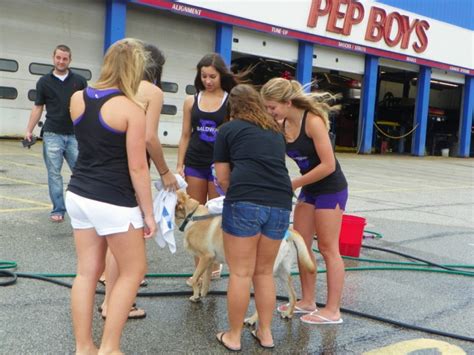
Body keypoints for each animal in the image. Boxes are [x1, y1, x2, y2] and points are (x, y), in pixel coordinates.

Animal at [174, 192, 314, 322]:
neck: (192, 216)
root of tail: (288, 231)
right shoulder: (210, 260)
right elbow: (205, 280)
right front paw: (200, 295)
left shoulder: (205, 257)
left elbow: (195, 279)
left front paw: (196, 295)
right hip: (282, 271)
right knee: (293, 295)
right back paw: (288, 313)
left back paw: (252, 320)